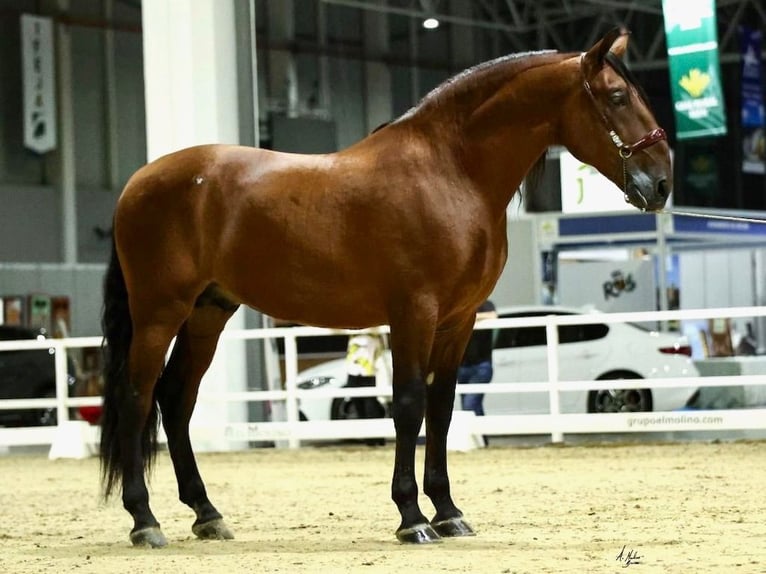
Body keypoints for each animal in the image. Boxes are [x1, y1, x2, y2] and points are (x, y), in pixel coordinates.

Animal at [100, 29, 672, 552]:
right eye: (617, 97)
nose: (664, 182)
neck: (450, 171)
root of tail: (137, 183)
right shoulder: (414, 312)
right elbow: (408, 405)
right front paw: (411, 518)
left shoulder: (459, 320)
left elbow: (441, 408)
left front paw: (449, 512)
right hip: (159, 312)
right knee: (137, 397)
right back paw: (144, 521)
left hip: (208, 312)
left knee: (176, 400)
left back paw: (207, 514)